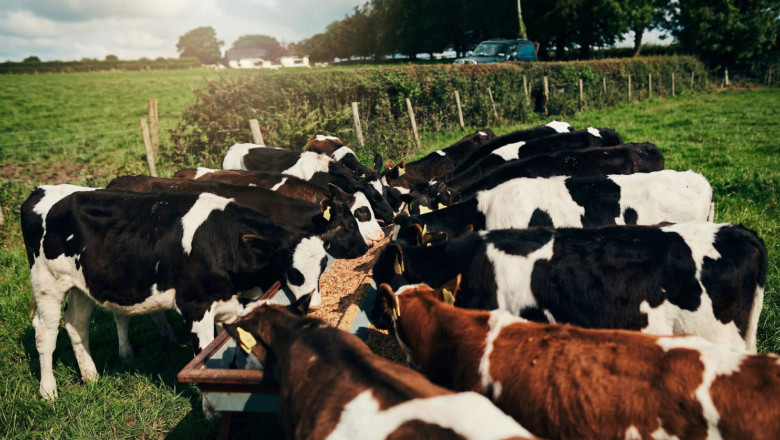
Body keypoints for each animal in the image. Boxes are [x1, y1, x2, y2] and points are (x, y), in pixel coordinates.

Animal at [21, 185, 332, 399]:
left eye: (322, 266)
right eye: (294, 271)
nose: (314, 305)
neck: (222, 244)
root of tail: (40, 191)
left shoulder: (231, 308)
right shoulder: (195, 307)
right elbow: (204, 356)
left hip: (81, 286)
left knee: (76, 324)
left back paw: (91, 377)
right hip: (47, 284)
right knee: (45, 335)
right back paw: (48, 391)